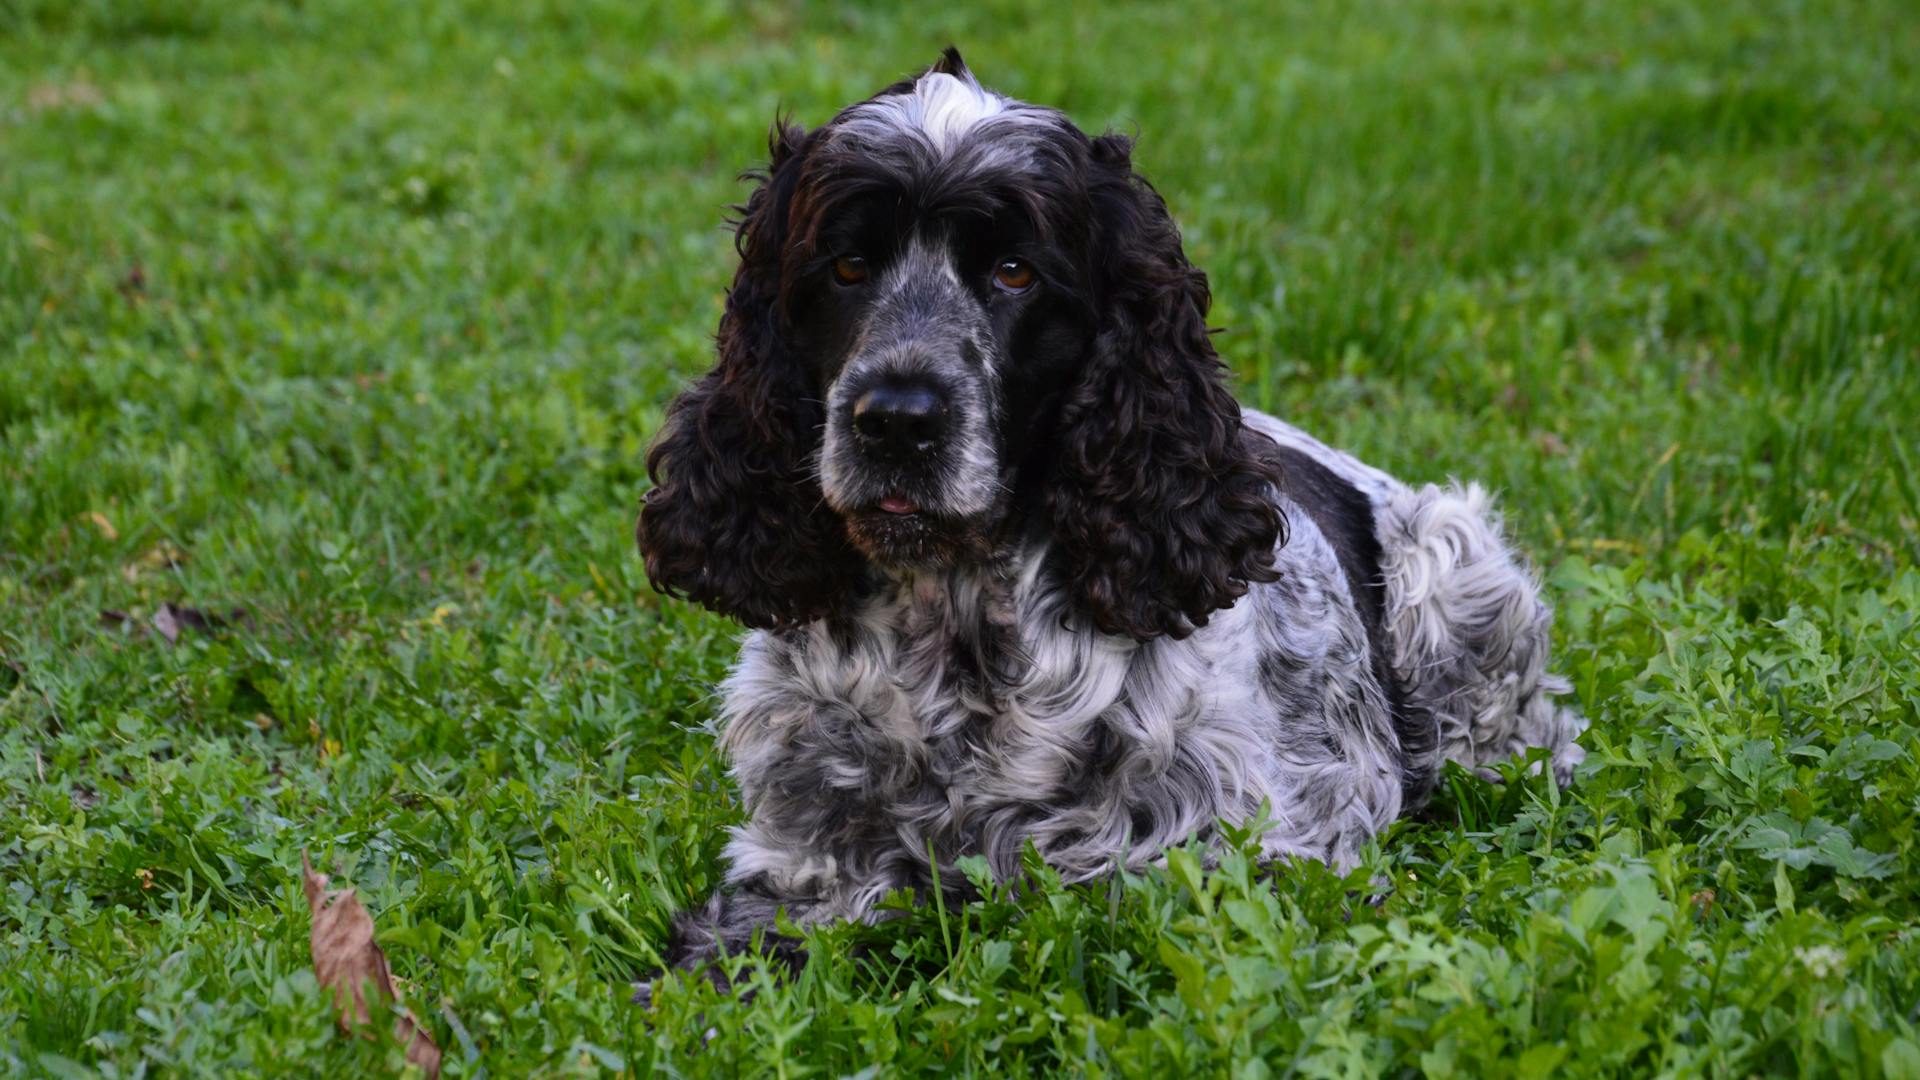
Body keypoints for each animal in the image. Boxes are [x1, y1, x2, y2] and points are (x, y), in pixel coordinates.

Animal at [637, 50, 1582, 991]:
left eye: (1015, 272)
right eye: (845, 266)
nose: (897, 421)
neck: (958, 625)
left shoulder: (1248, 851)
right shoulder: (804, 853)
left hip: (1452, 568)